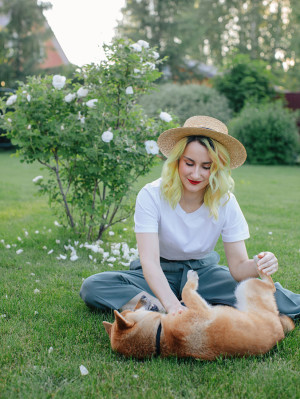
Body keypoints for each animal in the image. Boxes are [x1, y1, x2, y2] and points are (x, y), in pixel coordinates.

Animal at [102, 268, 292, 360]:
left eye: (131, 310)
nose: (142, 296)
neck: (160, 335)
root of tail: (279, 328)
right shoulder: (200, 308)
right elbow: (186, 291)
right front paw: (191, 278)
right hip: (246, 287)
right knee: (271, 286)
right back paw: (262, 269)